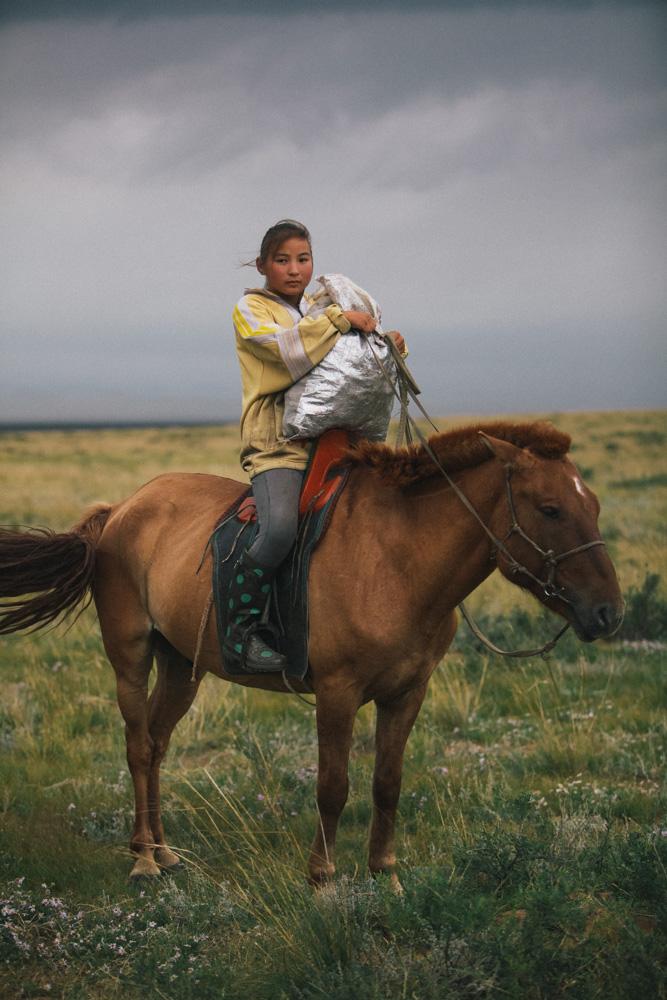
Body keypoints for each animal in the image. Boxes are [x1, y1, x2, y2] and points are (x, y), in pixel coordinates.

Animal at [1, 422, 628, 884]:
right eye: (549, 508)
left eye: (595, 504)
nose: (608, 613)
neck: (398, 559)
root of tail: (122, 507)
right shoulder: (337, 691)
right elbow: (333, 786)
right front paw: (322, 876)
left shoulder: (408, 693)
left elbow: (387, 782)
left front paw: (384, 874)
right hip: (129, 655)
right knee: (136, 747)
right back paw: (142, 861)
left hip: (182, 665)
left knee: (156, 744)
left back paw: (165, 850)